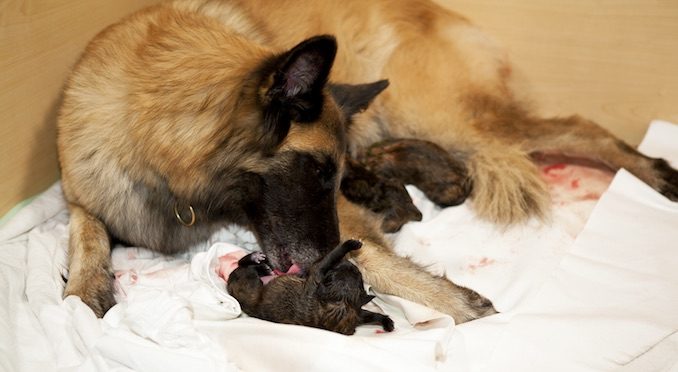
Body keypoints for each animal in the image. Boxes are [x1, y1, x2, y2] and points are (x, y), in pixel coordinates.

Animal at [57, 0, 676, 322]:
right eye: (316, 171)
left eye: (335, 176)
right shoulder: (86, 191)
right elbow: (85, 228)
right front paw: (84, 290)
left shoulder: (344, 223)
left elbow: (376, 259)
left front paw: (463, 309)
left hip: (442, 120)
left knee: (579, 128)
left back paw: (653, 173)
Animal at [228, 240, 394, 336]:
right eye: (359, 277)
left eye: (332, 274)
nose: (349, 263)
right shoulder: (358, 311)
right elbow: (371, 314)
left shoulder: (317, 273)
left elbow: (330, 256)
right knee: (242, 265)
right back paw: (259, 262)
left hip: (246, 279)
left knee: (243, 266)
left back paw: (259, 262)